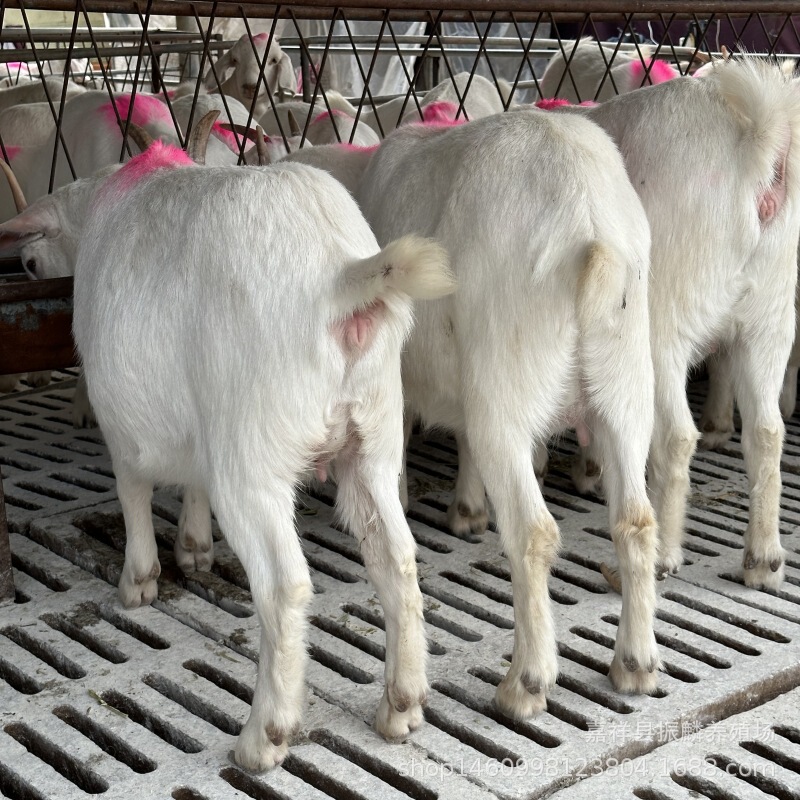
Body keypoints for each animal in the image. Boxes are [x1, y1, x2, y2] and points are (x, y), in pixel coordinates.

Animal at [67, 144, 453, 769]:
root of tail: (338, 276)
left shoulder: (123, 424)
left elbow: (132, 491)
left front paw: (139, 581)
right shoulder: (202, 429)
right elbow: (191, 484)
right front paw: (194, 547)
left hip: (253, 452)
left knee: (284, 585)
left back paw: (264, 736)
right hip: (373, 437)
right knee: (395, 557)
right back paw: (402, 704)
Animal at [351, 108, 659, 713]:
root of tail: (587, 221)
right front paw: (468, 511)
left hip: (509, 375)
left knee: (532, 533)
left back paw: (526, 682)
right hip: (626, 382)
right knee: (634, 520)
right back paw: (634, 665)